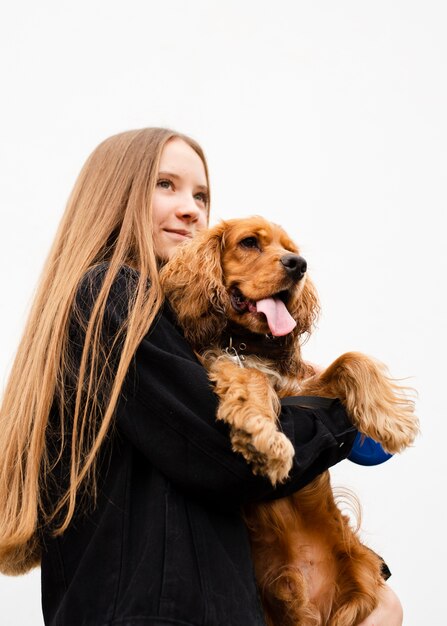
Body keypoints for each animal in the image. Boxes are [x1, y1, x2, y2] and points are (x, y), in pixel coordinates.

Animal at [159, 216, 418, 624]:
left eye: (290, 248)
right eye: (249, 242)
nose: (299, 265)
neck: (245, 342)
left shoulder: (304, 391)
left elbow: (351, 359)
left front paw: (392, 421)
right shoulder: (226, 365)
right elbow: (251, 380)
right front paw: (263, 440)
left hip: (358, 585)